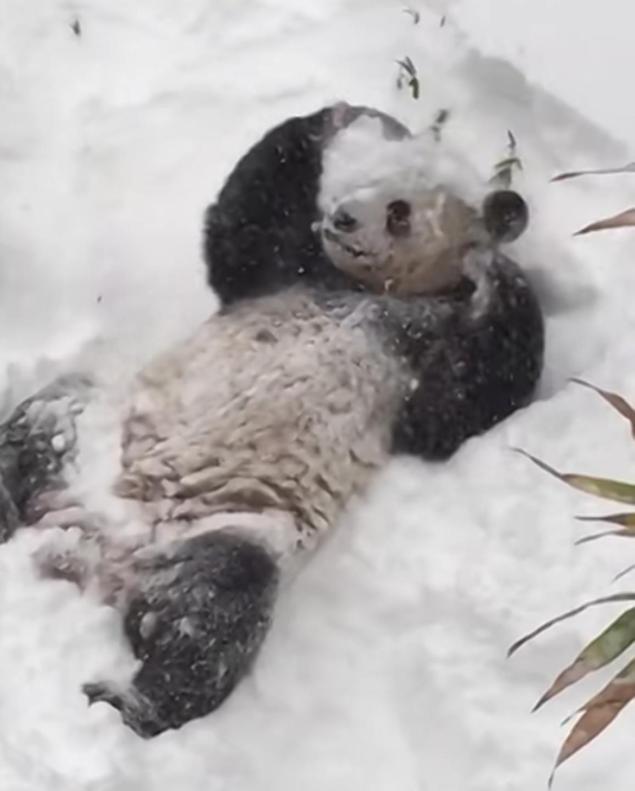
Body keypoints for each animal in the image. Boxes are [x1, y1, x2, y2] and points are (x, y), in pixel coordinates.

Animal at [0, 104, 544, 738]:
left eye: (399, 212)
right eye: (362, 181)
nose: (342, 218)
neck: (375, 292)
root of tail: (91, 554)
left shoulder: (417, 358)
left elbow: (462, 406)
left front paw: (498, 264)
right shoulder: (289, 274)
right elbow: (243, 229)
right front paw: (338, 119)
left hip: (229, 527)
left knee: (215, 609)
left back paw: (132, 703)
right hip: (91, 440)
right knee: (41, 425)